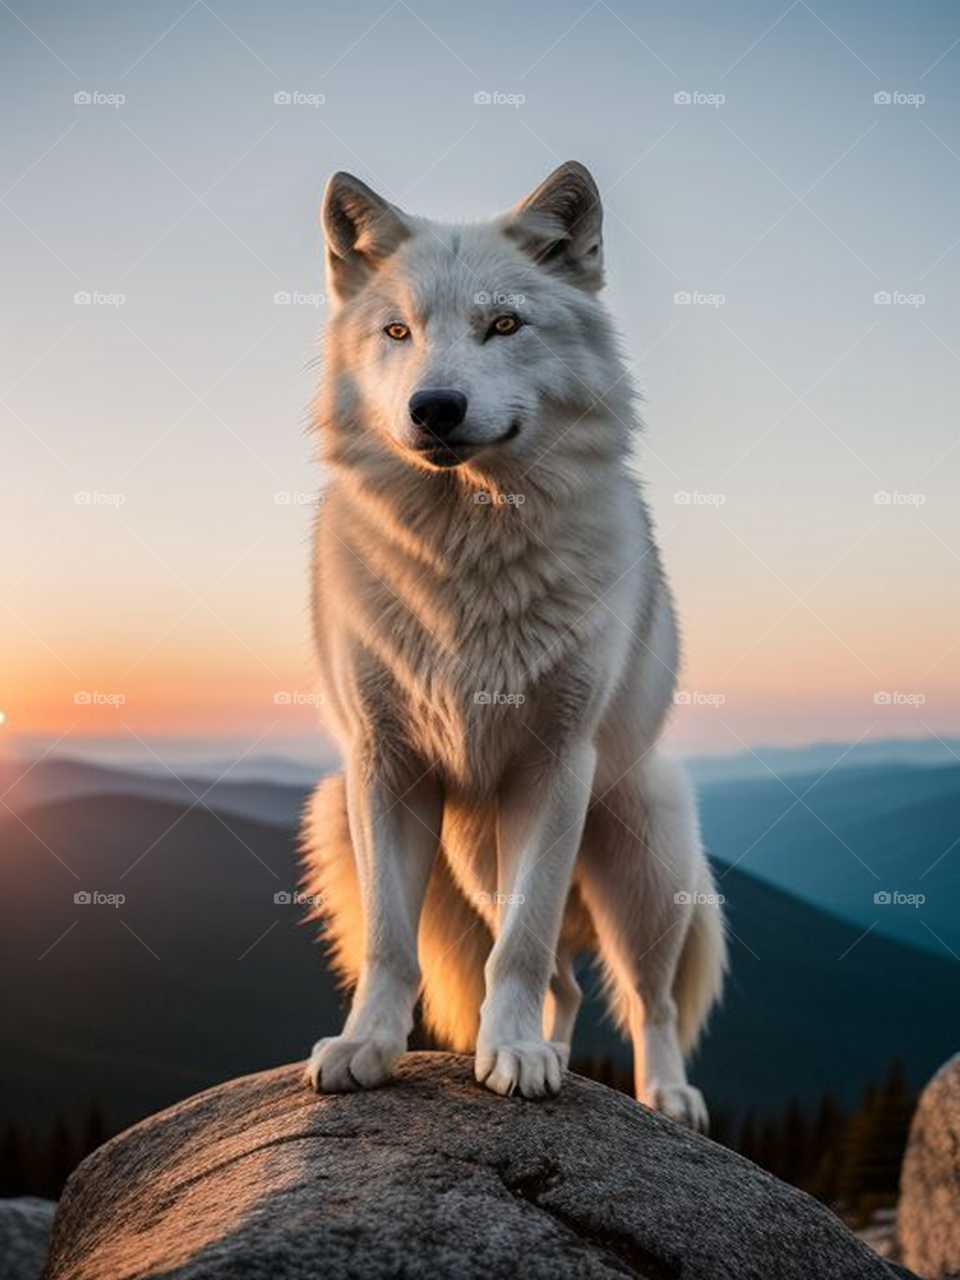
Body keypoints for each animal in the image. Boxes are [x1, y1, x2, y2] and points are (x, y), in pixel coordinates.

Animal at [301, 161, 726, 1128]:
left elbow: (523, 951)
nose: (434, 408)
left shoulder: (552, 765)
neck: (468, 555)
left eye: (504, 325)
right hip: (471, 860)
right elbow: (390, 940)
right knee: (566, 986)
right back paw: (552, 1048)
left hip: (641, 870)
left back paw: (666, 1097)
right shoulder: (383, 769)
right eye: (397, 331)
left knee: (644, 1000)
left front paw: (517, 1061)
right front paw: (366, 1048)